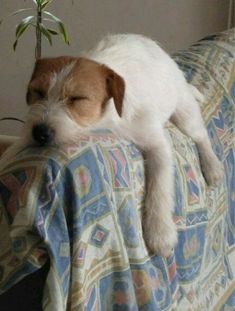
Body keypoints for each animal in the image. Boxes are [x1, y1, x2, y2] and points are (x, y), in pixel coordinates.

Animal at [0, 34, 224, 258]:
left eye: (77, 98)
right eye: (38, 92)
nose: (40, 133)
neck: (105, 120)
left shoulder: (158, 145)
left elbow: (158, 186)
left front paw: (160, 232)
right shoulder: (24, 138)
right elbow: (9, 154)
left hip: (184, 114)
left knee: (201, 136)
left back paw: (212, 166)